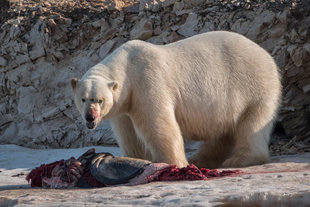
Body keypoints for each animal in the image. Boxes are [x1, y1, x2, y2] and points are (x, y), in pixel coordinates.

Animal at [71, 31, 282, 169]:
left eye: (99, 100)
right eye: (83, 99)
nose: (90, 117)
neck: (127, 66)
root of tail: (265, 54)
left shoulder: (147, 81)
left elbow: (158, 124)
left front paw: (173, 163)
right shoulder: (124, 104)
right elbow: (129, 133)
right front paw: (135, 159)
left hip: (253, 87)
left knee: (252, 124)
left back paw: (239, 159)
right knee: (223, 132)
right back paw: (201, 159)